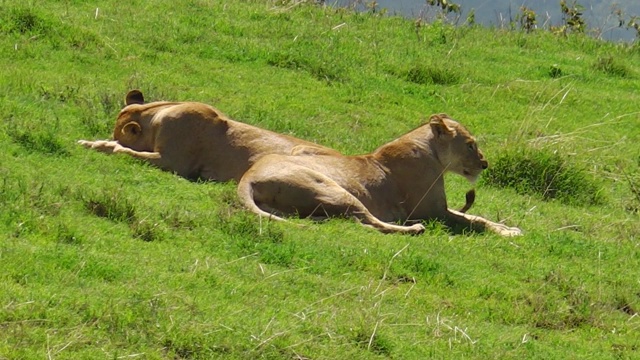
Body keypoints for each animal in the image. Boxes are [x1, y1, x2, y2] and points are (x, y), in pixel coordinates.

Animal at [238, 112, 524, 236]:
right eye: (470, 145)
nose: (484, 164)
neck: (432, 154)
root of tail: (248, 176)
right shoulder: (431, 212)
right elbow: (474, 221)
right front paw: (507, 233)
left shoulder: (441, 208)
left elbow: (477, 216)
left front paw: (507, 227)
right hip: (334, 189)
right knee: (371, 222)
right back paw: (413, 230)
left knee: (352, 221)